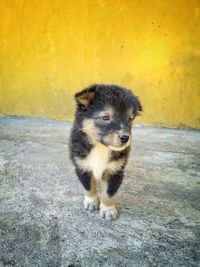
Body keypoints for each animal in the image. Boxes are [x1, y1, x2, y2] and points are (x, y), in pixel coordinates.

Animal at [69, 85, 141, 221]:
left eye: (129, 119)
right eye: (105, 117)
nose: (125, 138)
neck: (100, 147)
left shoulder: (114, 171)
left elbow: (108, 193)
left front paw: (108, 210)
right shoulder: (82, 166)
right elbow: (89, 187)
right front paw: (91, 202)